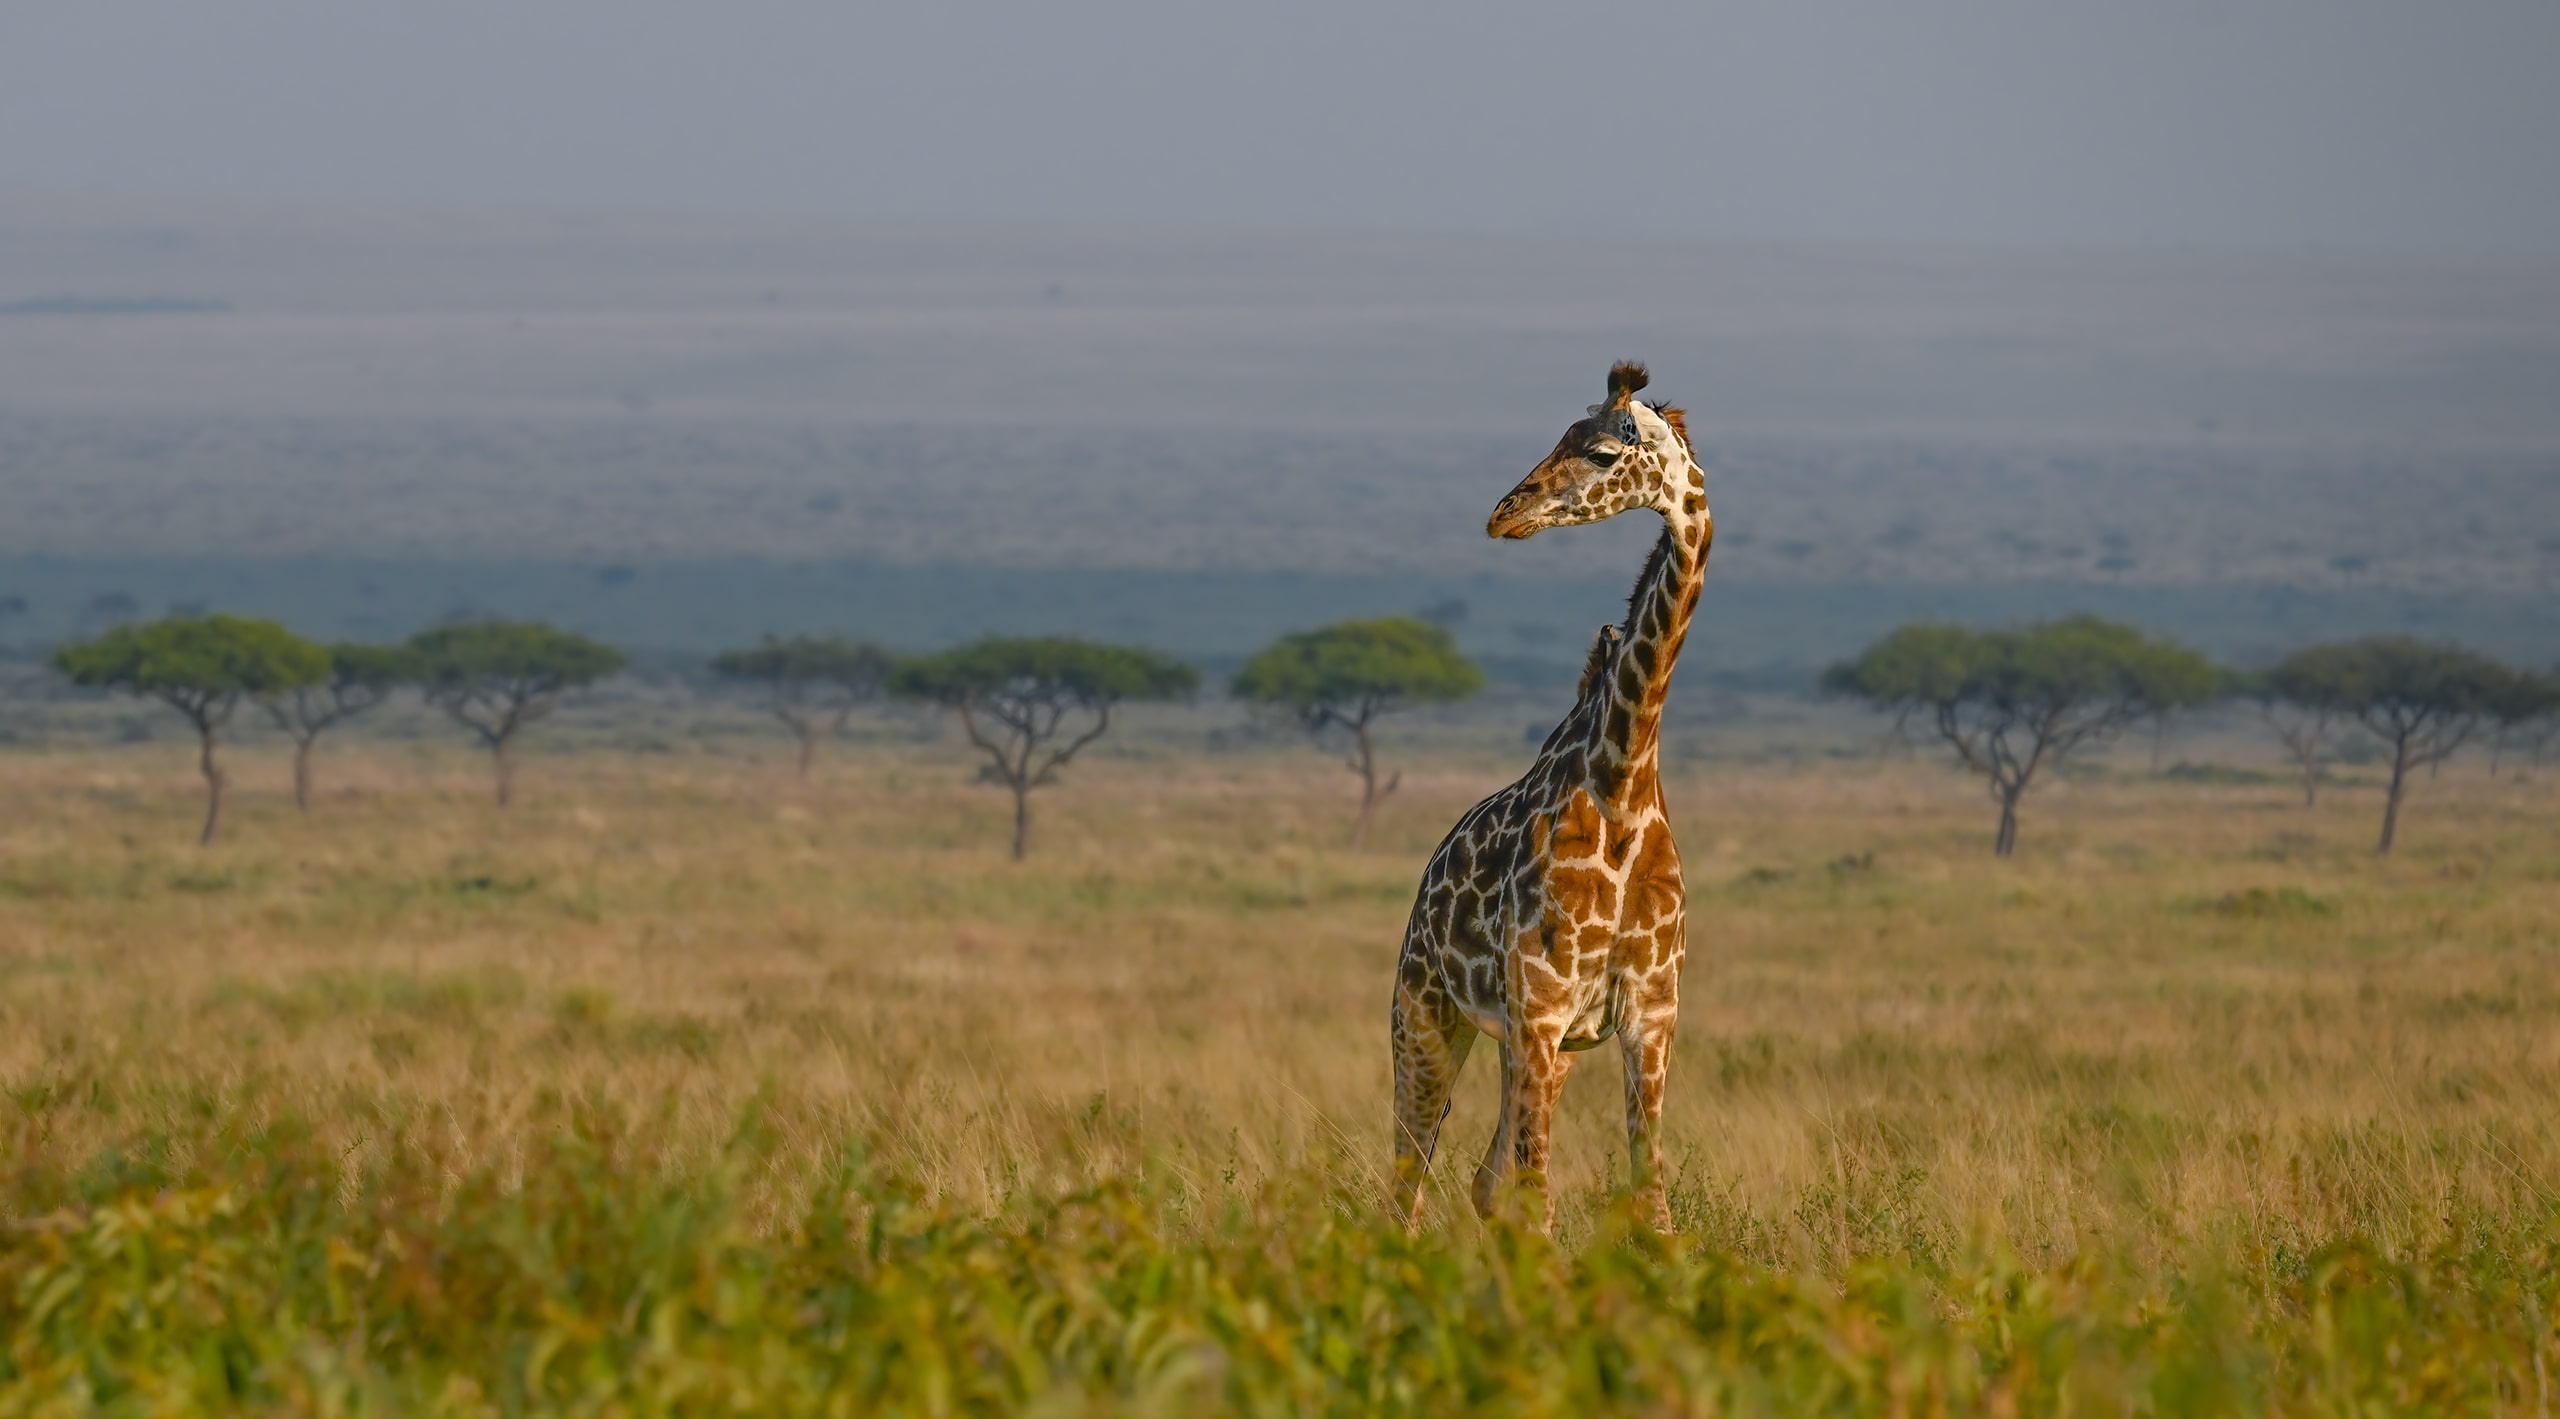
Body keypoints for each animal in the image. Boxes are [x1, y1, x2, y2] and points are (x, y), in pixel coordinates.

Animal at [1392, 361, 1710, 1224]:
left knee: (1481, 1177)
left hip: (1538, 1045)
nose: (1506, 513)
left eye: (1601, 452)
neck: (1622, 785)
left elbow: (1652, 1196)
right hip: (1426, 1014)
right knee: (1408, 1179)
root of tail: (1426, 879)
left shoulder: (1647, 1014)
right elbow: (1539, 1197)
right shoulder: (1540, 1004)